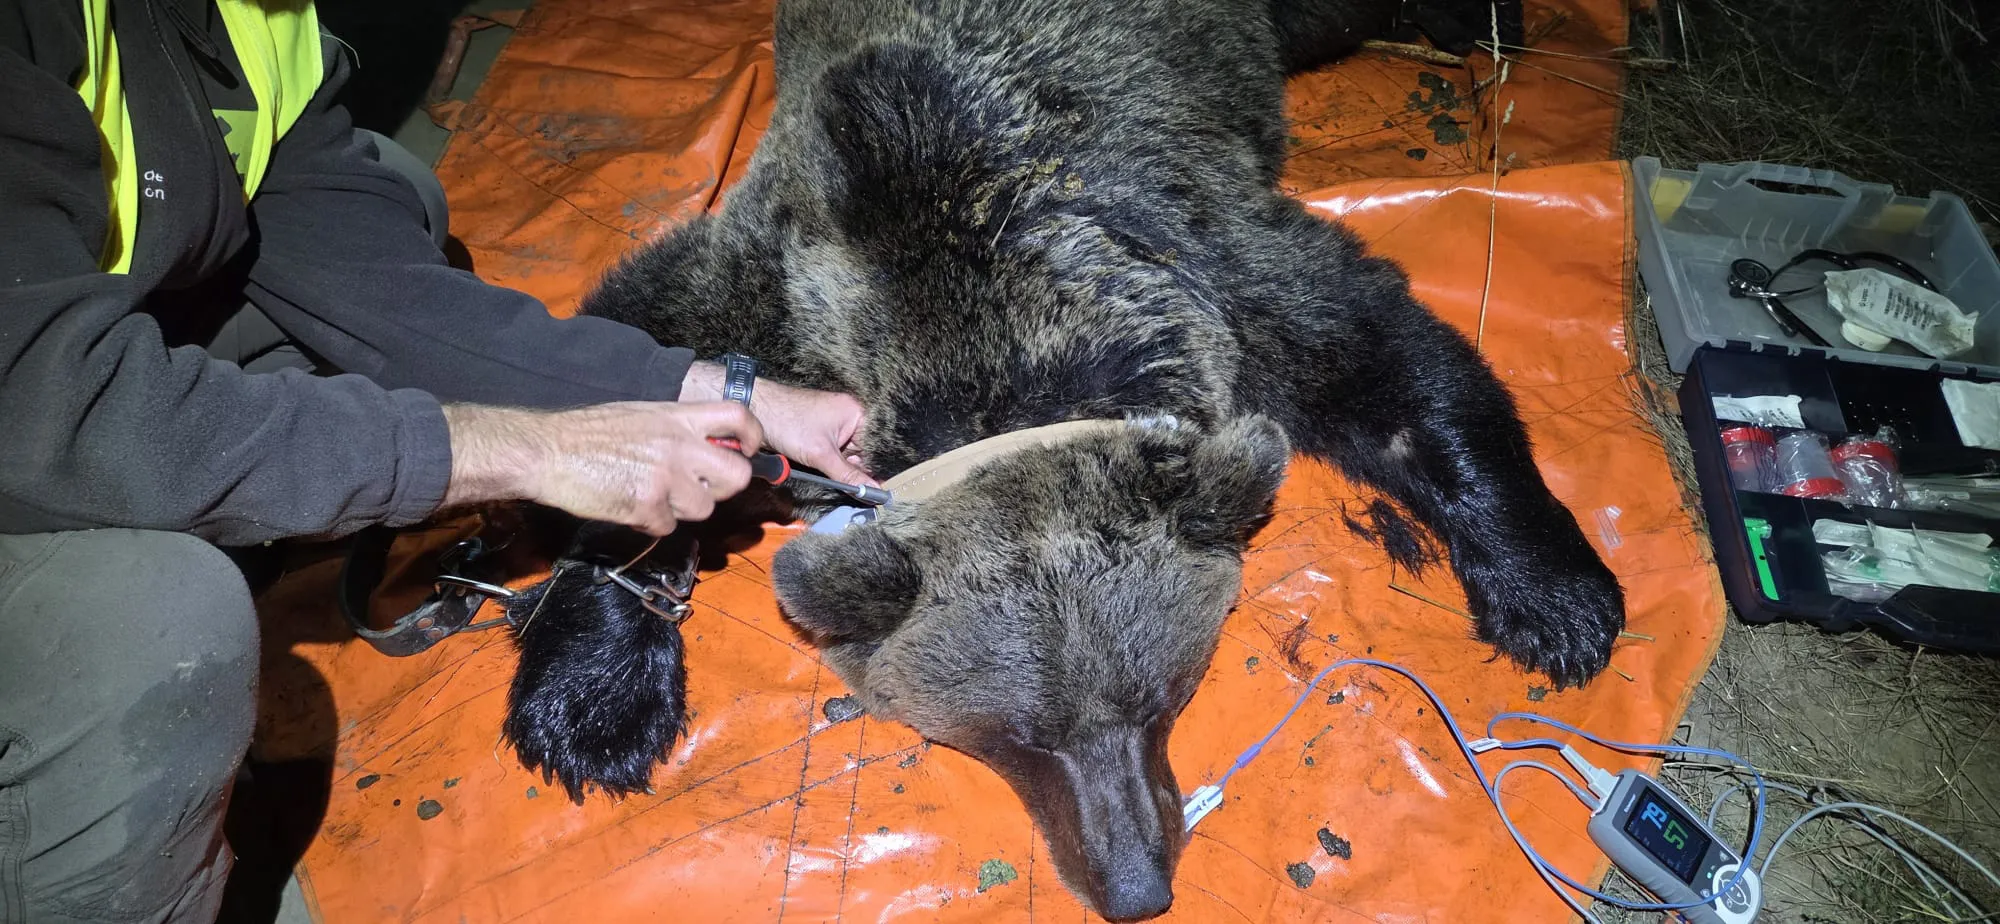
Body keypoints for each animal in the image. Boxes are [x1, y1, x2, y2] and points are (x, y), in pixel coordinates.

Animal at [499, 0, 1617, 919]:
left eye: (1164, 698)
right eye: (1016, 736)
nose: (1135, 888)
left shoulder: (1200, 262)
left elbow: (1389, 367)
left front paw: (1556, 600)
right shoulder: (782, 280)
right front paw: (592, 703)